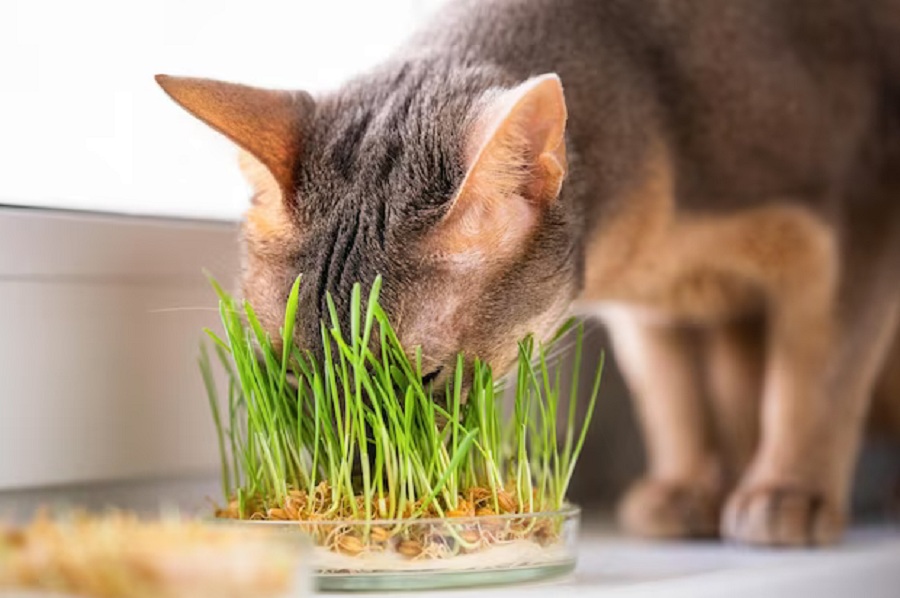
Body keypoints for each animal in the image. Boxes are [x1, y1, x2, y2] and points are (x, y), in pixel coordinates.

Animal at [155, 0, 900, 548]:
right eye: (291, 376)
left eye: (427, 378)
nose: (366, 487)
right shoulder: (654, 311)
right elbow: (672, 397)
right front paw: (687, 485)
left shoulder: (863, 210)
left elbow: (814, 378)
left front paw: (789, 493)